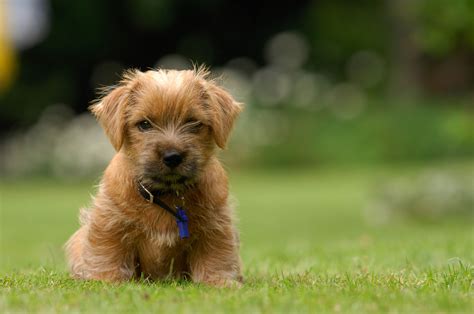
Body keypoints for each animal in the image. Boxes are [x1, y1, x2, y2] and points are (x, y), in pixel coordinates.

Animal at [65, 67, 243, 288]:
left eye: (193, 122)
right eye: (144, 124)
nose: (172, 157)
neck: (166, 194)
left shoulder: (215, 225)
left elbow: (216, 255)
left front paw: (219, 281)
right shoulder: (110, 221)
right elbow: (108, 252)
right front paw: (106, 279)